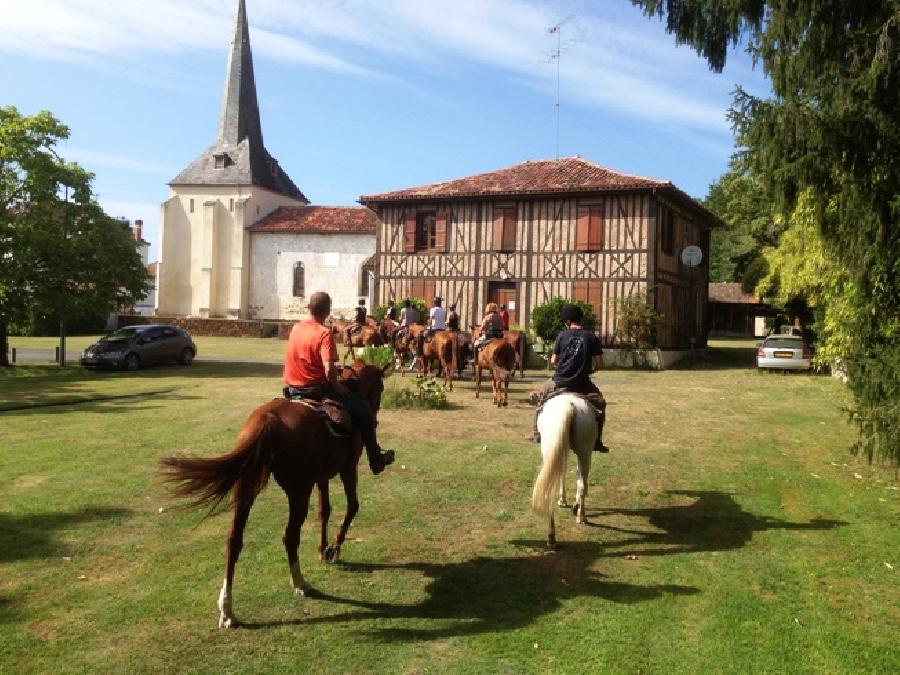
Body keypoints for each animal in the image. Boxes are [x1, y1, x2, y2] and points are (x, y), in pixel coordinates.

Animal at [157, 362, 386, 632]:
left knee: (234, 540)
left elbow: (325, 511)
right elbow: (352, 506)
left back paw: (227, 610)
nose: (376, 415)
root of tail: (266, 420)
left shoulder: (322, 477)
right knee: (290, 536)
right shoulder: (347, 469)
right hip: (299, 490)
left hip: (246, 487)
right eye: (381, 387)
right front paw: (333, 549)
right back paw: (300, 583)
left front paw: (323, 550)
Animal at [536, 394, 596, 548]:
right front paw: (569, 502)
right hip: (584, 453)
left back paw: (552, 536)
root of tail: (570, 405)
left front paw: (564, 500)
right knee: (582, 484)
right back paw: (581, 516)